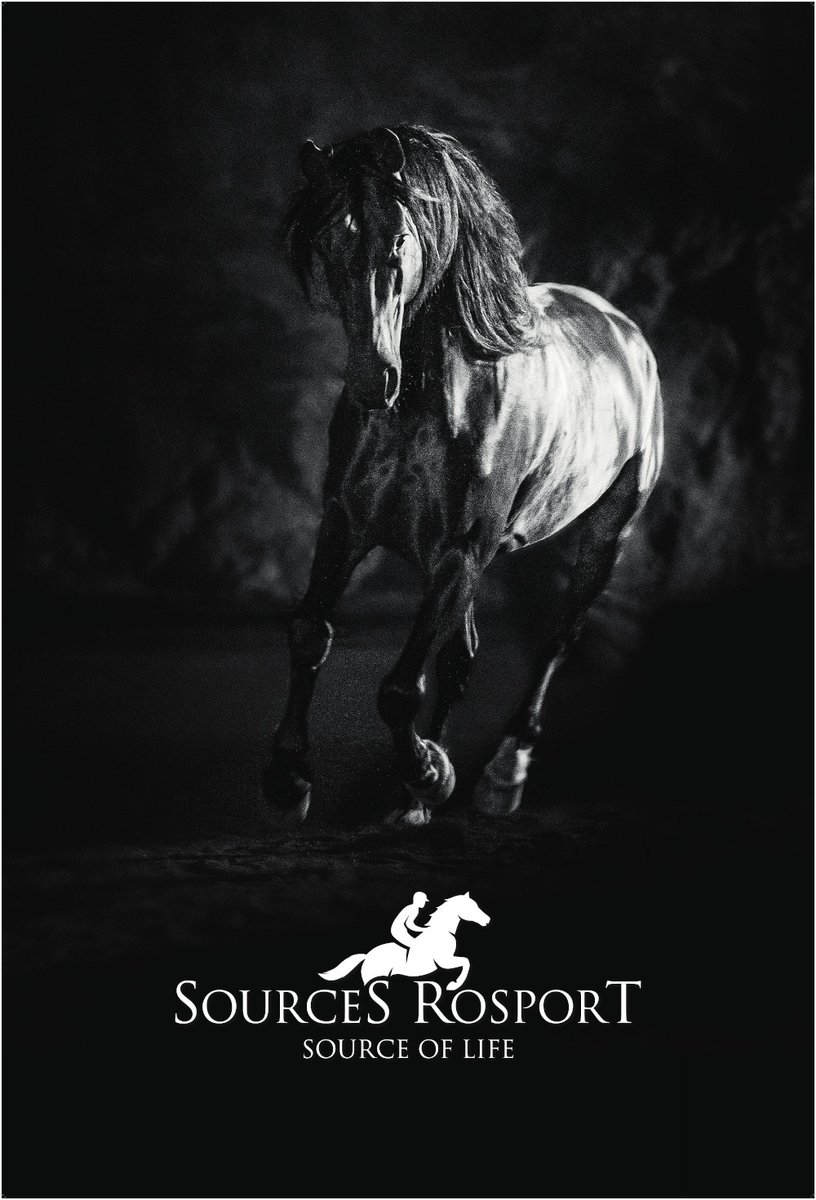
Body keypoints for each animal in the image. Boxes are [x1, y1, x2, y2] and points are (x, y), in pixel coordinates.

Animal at [264, 124, 663, 825]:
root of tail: (626, 334)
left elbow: (399, 689)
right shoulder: (346, 526)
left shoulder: (458, 553)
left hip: (603, 538)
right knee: (461, 656)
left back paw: (502, 775)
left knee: (557, 641)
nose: (373, 380)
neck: (428, 407)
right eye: (326, 242)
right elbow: (312, 633)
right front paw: (290, 781)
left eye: (399, 238)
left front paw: (430, 773)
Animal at [318, 892, 490, 990]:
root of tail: (367, 956)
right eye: (471, 907)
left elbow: (466, 961)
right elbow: (466, 961)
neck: (442, 931)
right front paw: (454, 985)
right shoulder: (444, 961)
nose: (488, 920)